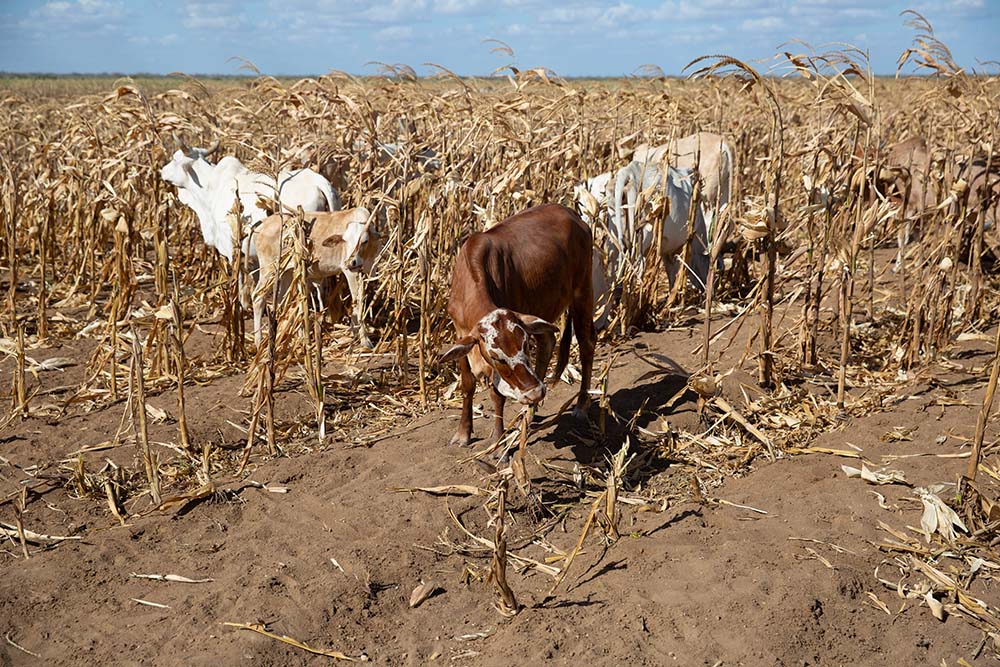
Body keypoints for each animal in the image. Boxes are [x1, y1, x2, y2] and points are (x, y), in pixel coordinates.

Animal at [440, 204, 592, 448]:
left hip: (582, 293)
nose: (535, 392)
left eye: (525, 346)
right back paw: (529, 412)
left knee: (587, 345)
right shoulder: (461, 335)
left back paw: (579, 406)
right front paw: (463, 433)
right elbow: (467, 384)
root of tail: (571, 213)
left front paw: (498, 440)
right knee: (548, 341)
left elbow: (496, 395)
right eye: (497, 356)